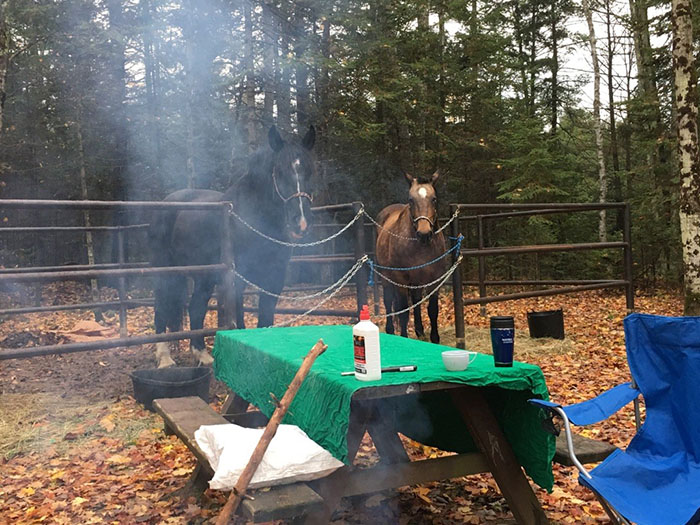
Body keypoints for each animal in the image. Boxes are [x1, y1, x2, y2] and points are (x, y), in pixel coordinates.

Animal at [149, 125, 316, 366]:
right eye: (279, 171)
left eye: (310, 170)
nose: (301, 222)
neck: (252, 220)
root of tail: (166, 202)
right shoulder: (237, 279)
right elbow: (240, 320)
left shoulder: (274, 278)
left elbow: (266, 316)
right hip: (165, 271)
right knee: (161, 306)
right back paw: (164, 358)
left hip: (204, 278)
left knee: (195, 307)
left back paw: (202, 354)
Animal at [374, 172, 446, 344]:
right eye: (411, 200)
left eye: (434, 199)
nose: (424, 234)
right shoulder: (401, 279)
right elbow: (403, 311)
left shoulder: (435, 279)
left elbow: (432, 309)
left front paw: (435, 338)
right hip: (386, 277)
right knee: (389, 302)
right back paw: (390, 330)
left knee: (416, 301)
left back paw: (419, 331)